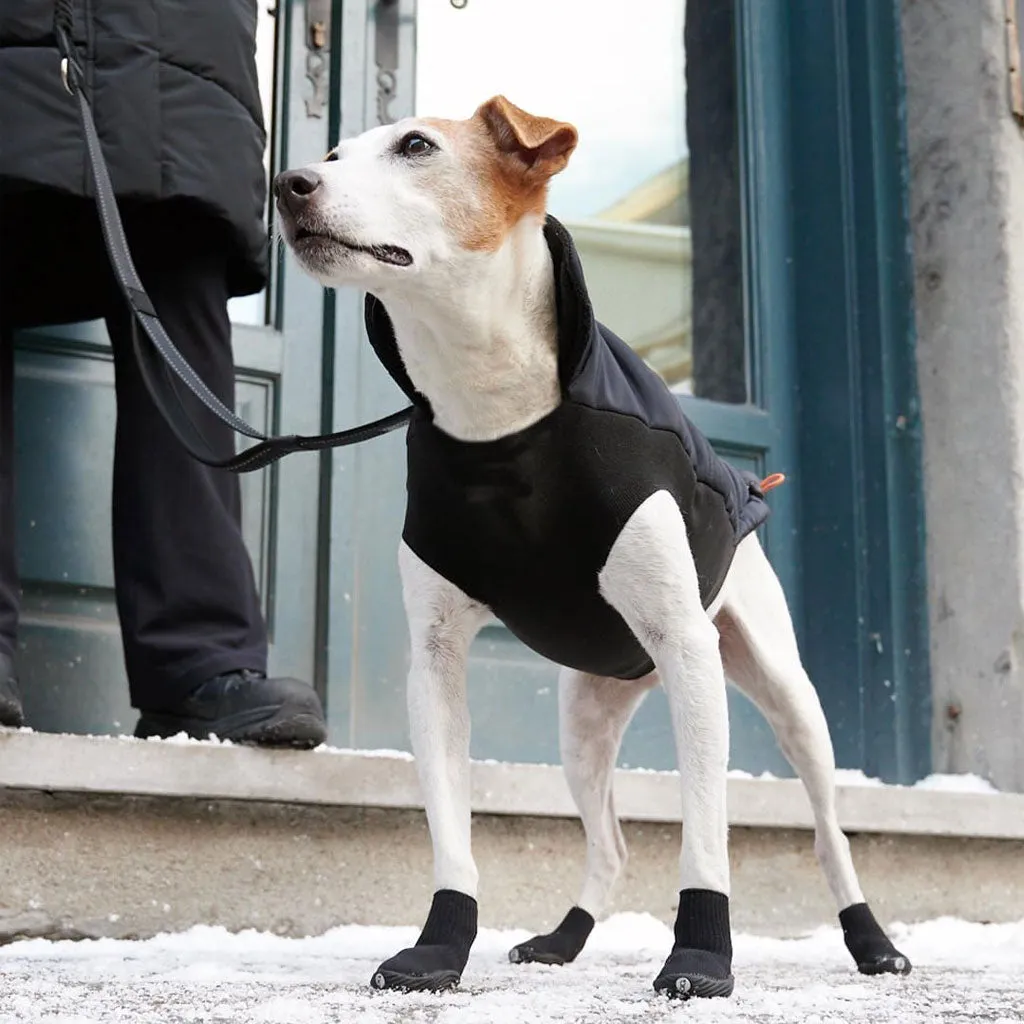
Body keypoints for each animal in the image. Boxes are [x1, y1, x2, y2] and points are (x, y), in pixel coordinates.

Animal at [274, 97, 913, 999]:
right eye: (332, 155)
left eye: (416, 146)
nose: (288, 182)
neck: (495, 414)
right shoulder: (433, 663)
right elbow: (451, 828)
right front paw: (440, 947)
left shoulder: (688, 649)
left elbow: (706, 833)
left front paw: (700, 957)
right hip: (581, 727)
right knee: (608, 845)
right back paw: (564, 939)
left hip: (788, 697)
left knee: (830, 834)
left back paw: (871, 941)